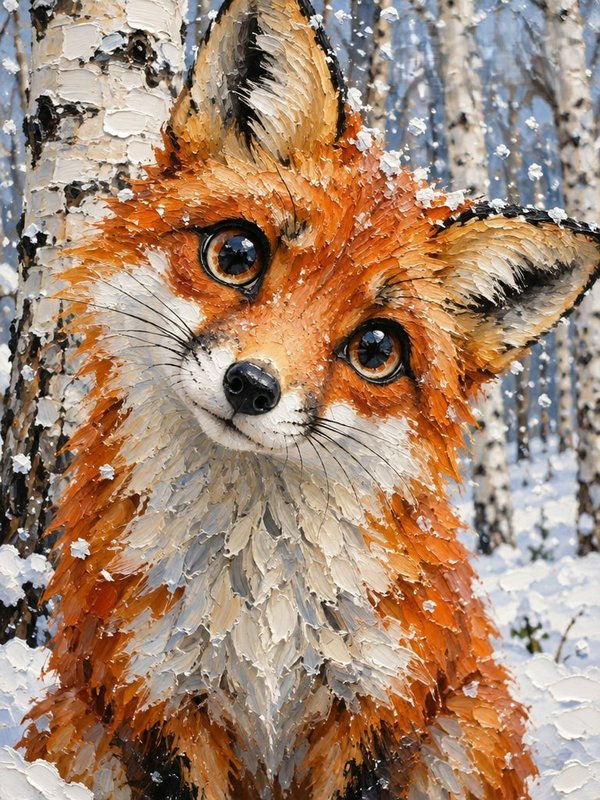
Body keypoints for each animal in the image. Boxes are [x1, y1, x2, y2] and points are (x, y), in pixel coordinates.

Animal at [20, 0, 600, 798]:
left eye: (377, 351)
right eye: (237, 255)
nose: (251, 386)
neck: (256, 595)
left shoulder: (378, 707)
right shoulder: (157, 699)